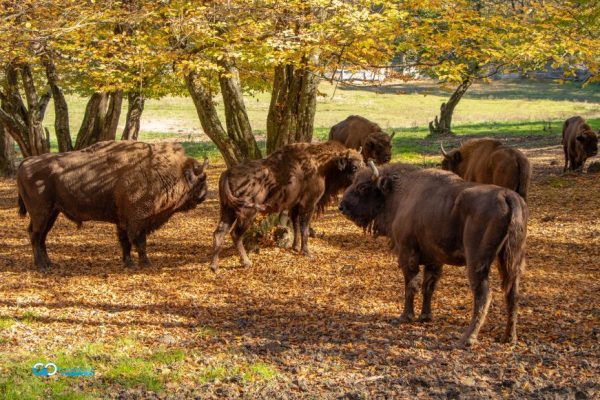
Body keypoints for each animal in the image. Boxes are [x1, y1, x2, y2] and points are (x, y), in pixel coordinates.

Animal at [17, 140, 209, 268]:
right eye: (201, 179)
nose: (205, 194)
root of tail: (25, 162)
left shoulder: (123, 221)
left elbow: (125, 242)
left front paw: (128, 263)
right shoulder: (138, 220)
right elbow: (139, 242)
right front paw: (146, 263)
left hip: (52, 213)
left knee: (41, 236)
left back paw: (49, 263)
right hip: (41, 213)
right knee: (35, 235)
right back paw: (41, 266)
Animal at [209, 141, 364, 272]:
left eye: (363, 163)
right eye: (354, 167)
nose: (361, 183)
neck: (322, 166)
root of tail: (228, 172)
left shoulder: (294, 206)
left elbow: (295, 225)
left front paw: (295, 248)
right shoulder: (309, 204)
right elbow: (304, 229)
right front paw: (307, 252)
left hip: (227, 210)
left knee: (219, 232)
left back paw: (214, 267)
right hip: (248, 212)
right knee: (235, 234)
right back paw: (246, 262)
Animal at [340, 162, 528, 346]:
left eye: (363, 187)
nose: (341, 207)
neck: (398, 193)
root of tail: (506, 196)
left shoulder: (407, 254)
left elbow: (411, 285)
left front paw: (405, 317)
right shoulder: (434, 260)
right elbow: (428, 286)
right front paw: (425, 316)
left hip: (477, 262)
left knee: (483, 295)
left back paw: (467, 339)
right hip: (511, 261)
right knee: (512, 294)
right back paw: (509, 338)